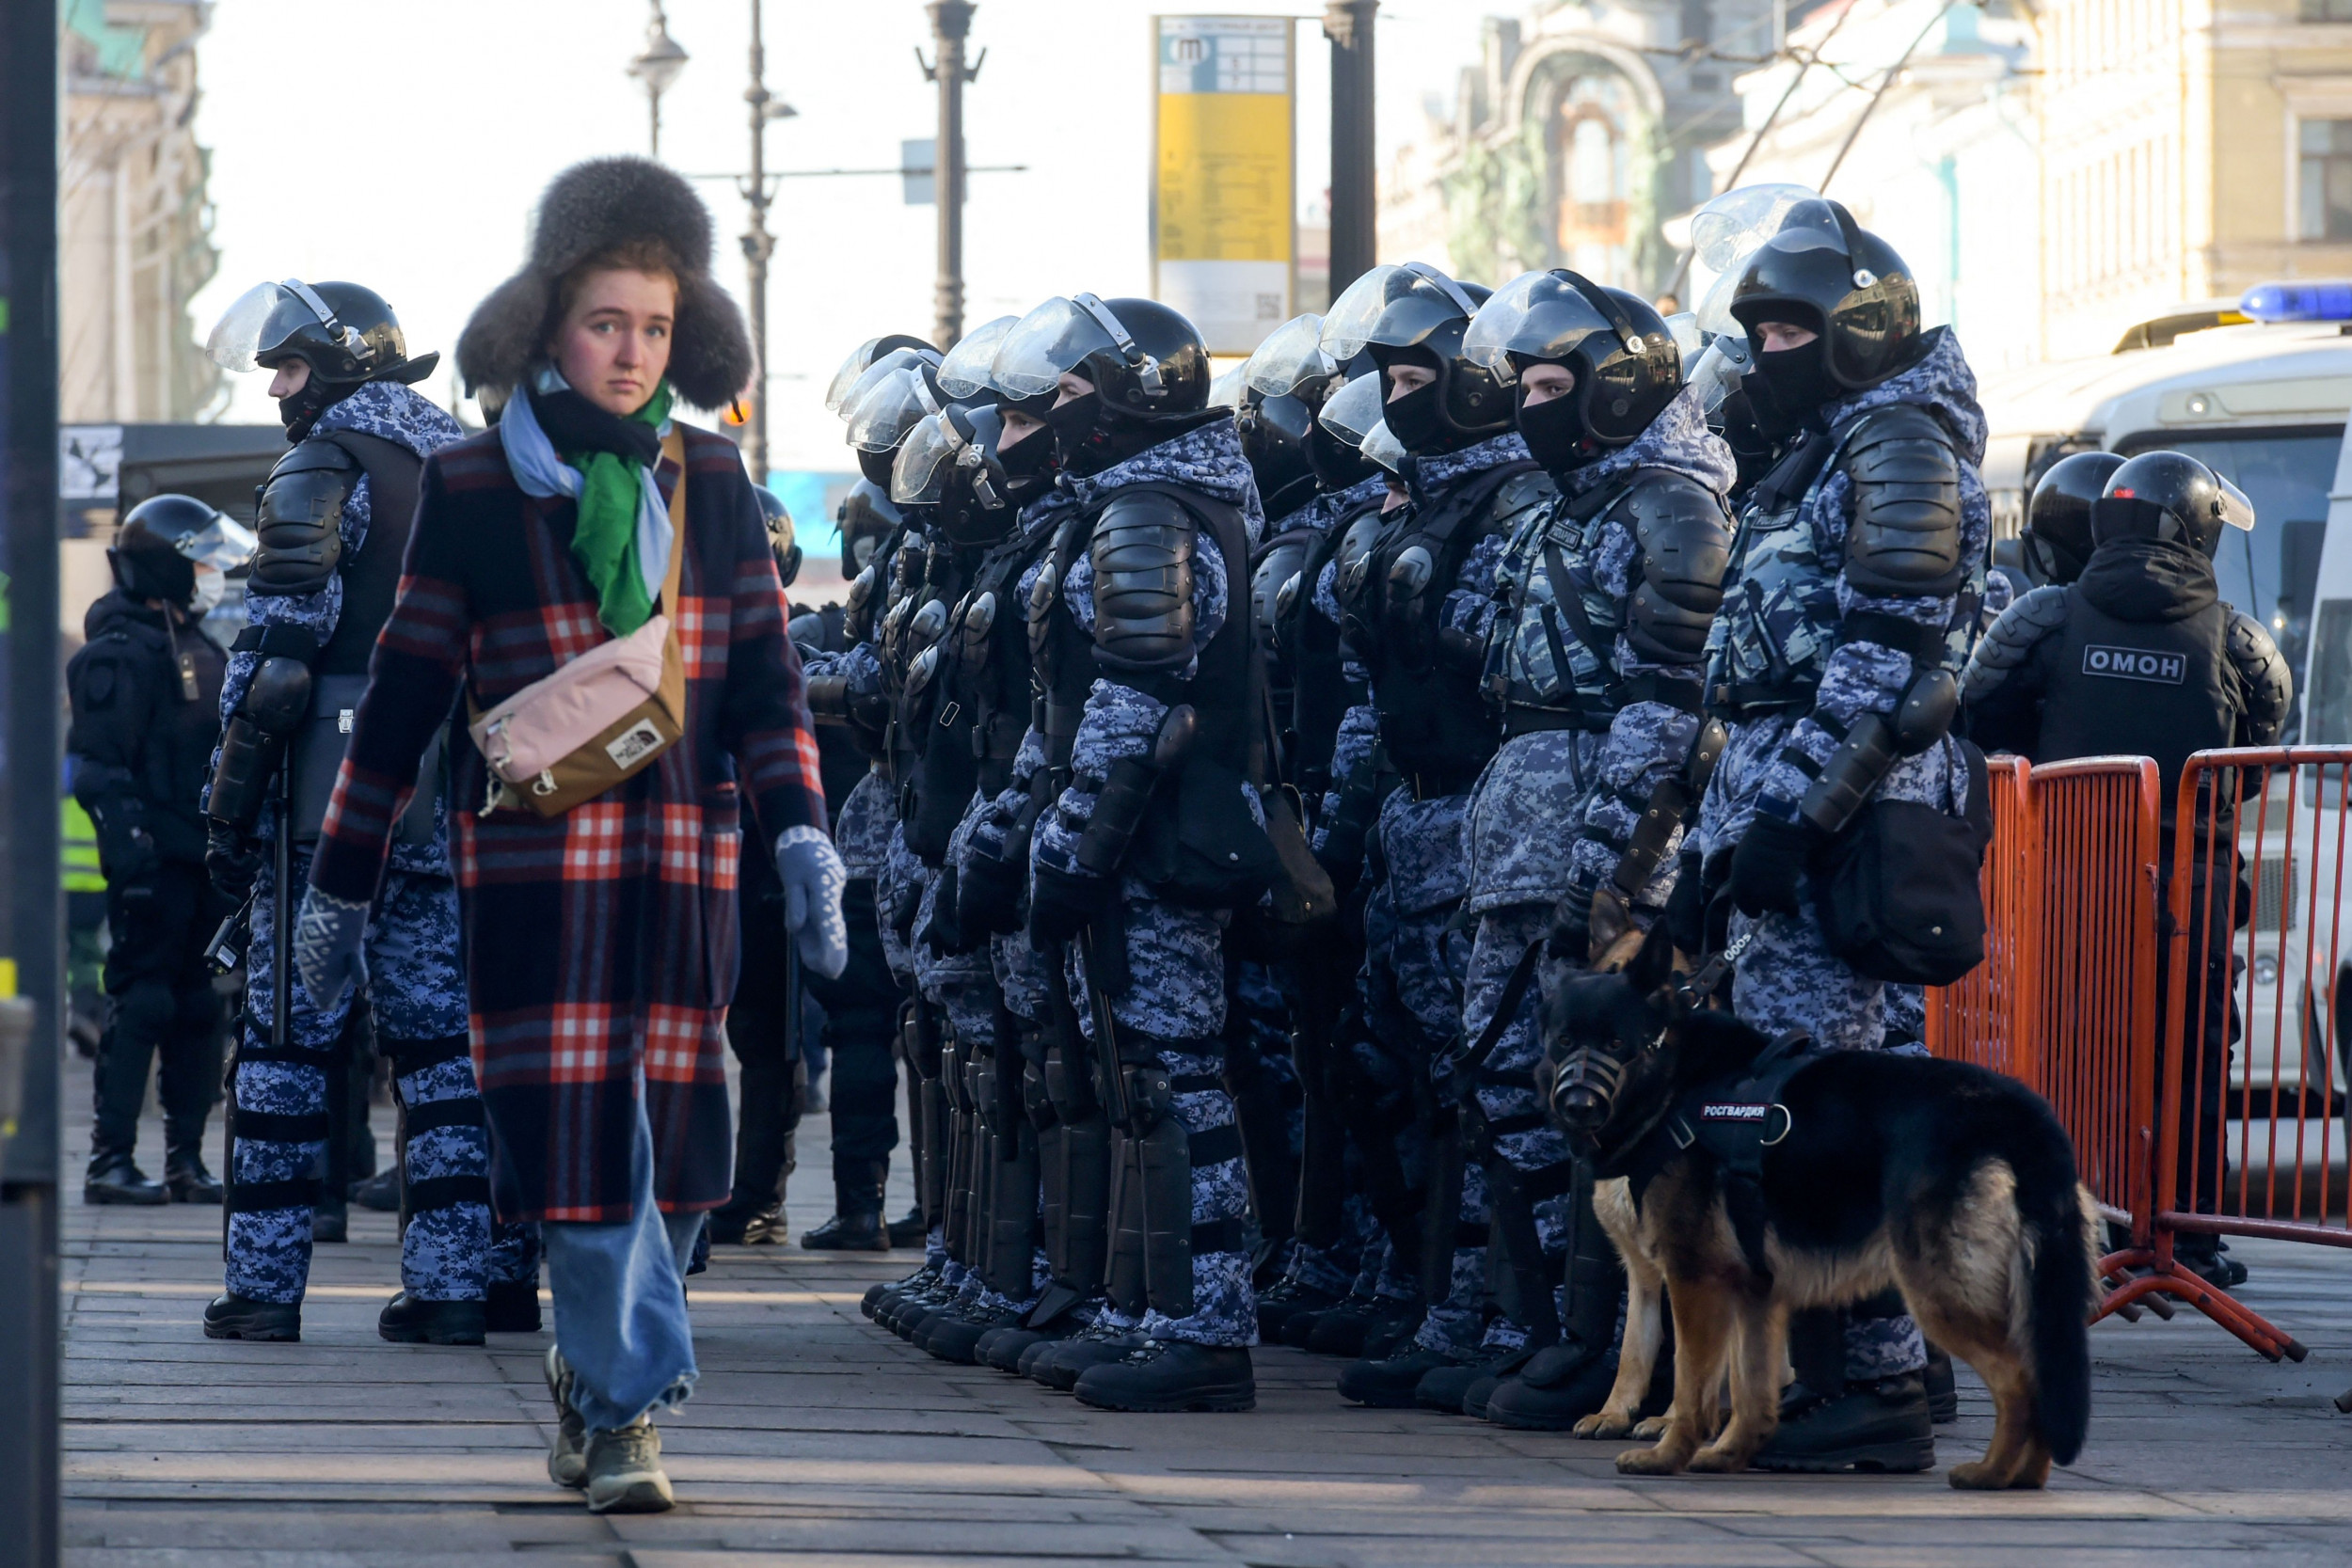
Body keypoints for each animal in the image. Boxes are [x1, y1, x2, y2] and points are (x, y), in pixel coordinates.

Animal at [1543, 926, 2098, 1495]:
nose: (1577, 1105)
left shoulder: (1694, 1279)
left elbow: (1691, 1383)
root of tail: (2020, 1111)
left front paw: (1668, 1453)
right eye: (1563, 1041)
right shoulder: (1752, 1292)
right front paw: (1728, 1454)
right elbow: (1750, 1391)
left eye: (1616, 1044)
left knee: (2021, 1379)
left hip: (1940, 1291)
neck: (1677, 1081)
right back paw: (2026, 1476)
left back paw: (1992, 1473)